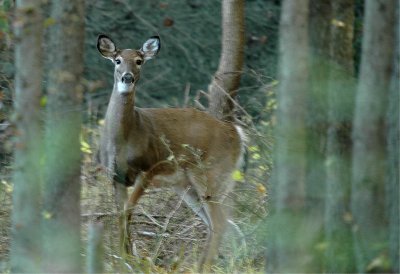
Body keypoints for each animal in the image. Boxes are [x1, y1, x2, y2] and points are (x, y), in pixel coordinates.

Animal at [97, 33, 245, 270]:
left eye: (139, 61)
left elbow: (128, 209)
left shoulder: (151, 167)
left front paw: (129, 258)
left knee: (220, 223)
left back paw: (201, 267)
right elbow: (120, 212)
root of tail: (237, 133)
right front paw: (122, 257)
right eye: (117, 60)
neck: (123, 140)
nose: (127, 78)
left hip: (209, 174)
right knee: (225, 224)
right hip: (188, 186)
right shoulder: (115, 176)